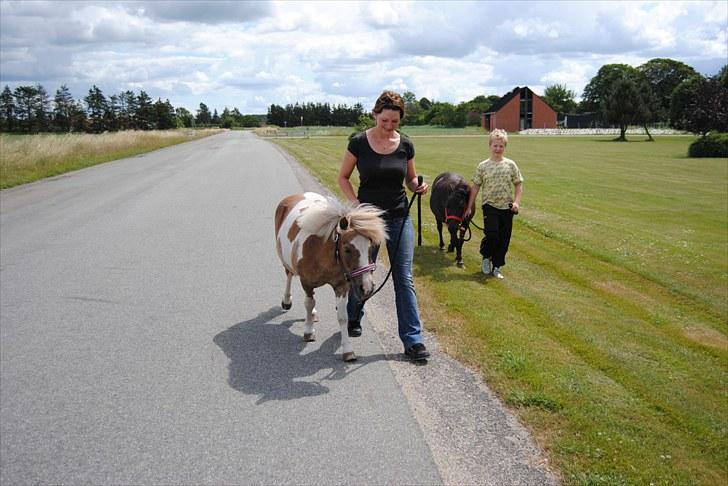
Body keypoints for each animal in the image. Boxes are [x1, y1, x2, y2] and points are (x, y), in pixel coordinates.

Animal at [274, 193, 390, 360]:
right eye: (347, 249)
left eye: (371, 248)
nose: (367, 288)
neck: (321, 251)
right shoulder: (306, 282)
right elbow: (308, 303)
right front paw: (308, 331)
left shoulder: (341, 286)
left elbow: (342, 316)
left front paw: (348, 350)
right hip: (286, 261)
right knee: (289, 276)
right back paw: (287, 301)